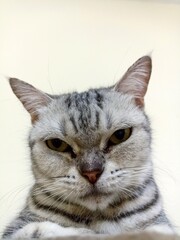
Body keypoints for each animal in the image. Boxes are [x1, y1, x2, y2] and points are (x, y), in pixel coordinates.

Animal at [1, 55, 173, 238]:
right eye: (57, 144)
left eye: (120, 135)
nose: (91, 173)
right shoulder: (14, 231)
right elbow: (42, 229)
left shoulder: (163, 226)